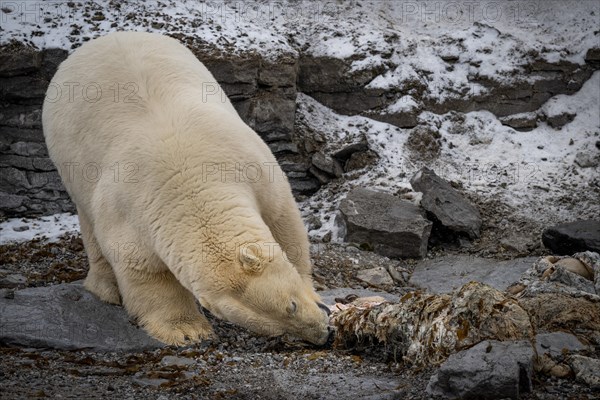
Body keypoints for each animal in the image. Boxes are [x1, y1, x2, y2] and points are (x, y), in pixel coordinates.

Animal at [43, 32, 328, 344]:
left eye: (291, 305)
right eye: (279, 330)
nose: (324, 333)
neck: (191, 183)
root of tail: (100, 40)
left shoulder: (250, 165)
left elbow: (283, 222)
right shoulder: (130, 211)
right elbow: (144, 269)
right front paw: (187, 330)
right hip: (71, 163)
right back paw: (107, 289)